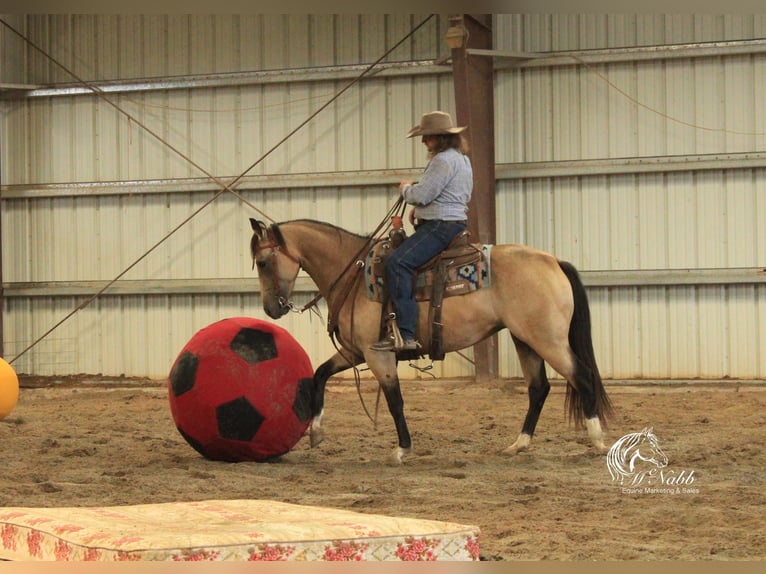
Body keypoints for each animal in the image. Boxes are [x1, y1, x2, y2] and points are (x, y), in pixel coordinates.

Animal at [249, 218, 616, 466]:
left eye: (264, 262)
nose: (271, 309)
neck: (353, 276)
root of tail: (554, 262)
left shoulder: (377, 354)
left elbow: (395, 400)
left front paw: (401, 449)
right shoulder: (356, 351)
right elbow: (320, 374)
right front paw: (315, 432)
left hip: (547, 340)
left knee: (582, 377)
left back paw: (598, 441)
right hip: (524, 339)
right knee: (538, 388)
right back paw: (519, 444)